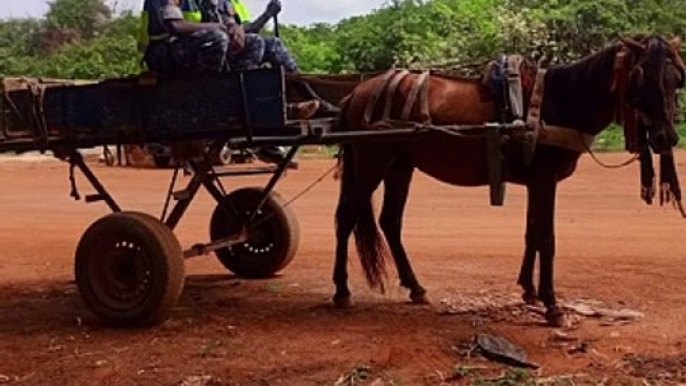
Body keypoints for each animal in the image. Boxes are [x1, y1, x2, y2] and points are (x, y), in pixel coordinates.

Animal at [330, 34, 684, 328]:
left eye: (676, 80)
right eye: (641, 78)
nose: (666, 137)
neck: (559, 101)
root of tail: (357, 91)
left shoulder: (536, 181)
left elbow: (532, 233)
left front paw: (529, 290)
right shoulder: (545, 180)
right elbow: (547, 238)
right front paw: (552, 305)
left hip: (400, 166)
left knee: (390, 221)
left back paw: (415, 287)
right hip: (371, 162)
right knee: (347, 217)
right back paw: (342, 290)